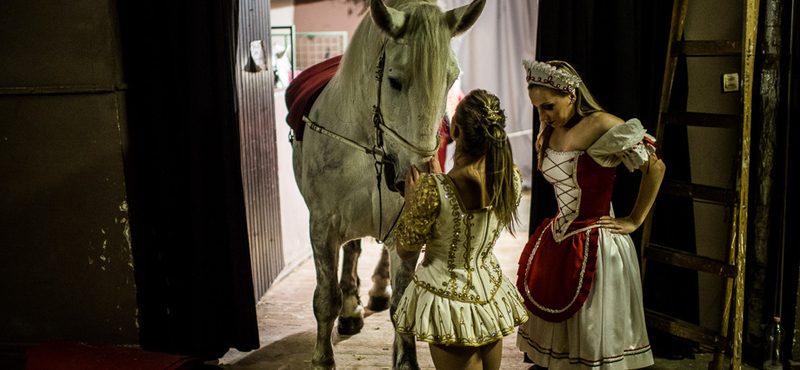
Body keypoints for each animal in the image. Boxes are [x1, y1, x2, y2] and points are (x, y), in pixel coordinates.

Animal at [290, 1, 484, 368]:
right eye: (394, 81)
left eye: (451, 79)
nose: (417, 176)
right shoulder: (322, 226)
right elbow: (325, 297)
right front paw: (322, 357)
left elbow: (403, 304)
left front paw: (406, 359)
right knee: (351, 252)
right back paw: (351, 309)